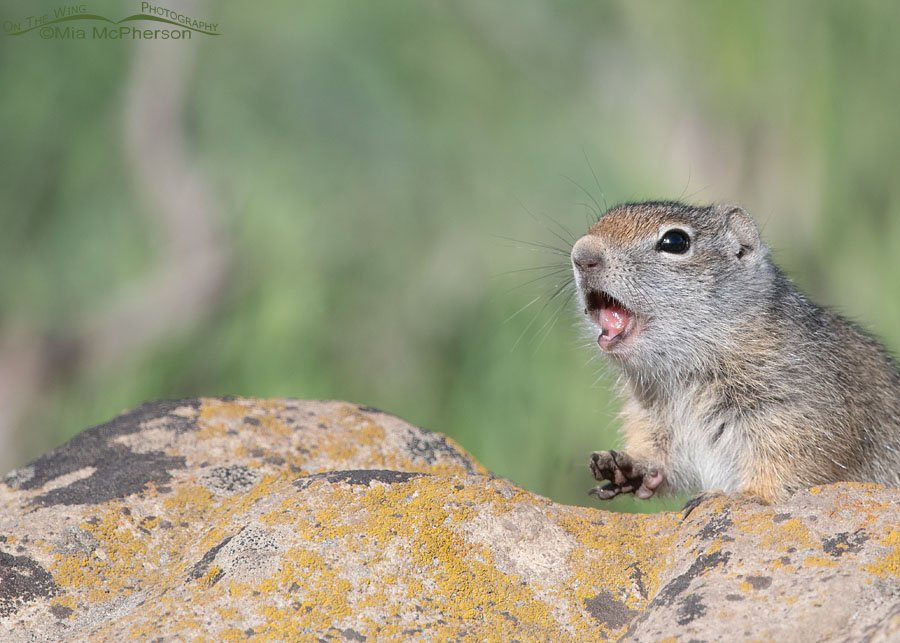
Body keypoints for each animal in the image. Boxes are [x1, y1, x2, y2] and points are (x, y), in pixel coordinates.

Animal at [571, 201, 900, 503]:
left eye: (675, 241)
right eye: (602, 218)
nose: (581, 255)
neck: (687, 370)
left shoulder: (793, 407)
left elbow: (789, 460)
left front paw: (740, 495)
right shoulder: (651, 416)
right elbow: (664, 456)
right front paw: (625, 466)